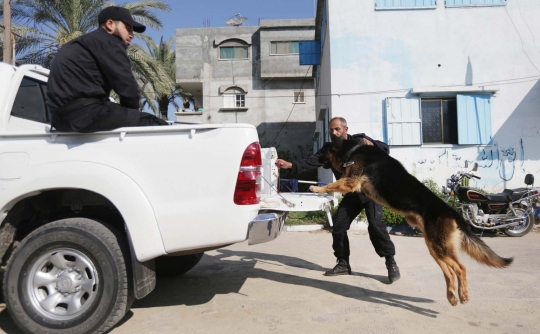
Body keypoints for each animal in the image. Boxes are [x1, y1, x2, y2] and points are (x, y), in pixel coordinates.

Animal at [310, 136, 512, 306]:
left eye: (320, 151)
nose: (308, 159)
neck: (352, 150)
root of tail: (452, 212)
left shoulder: (350, 181)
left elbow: (331, 184)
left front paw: (315, 188)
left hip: (439, 247)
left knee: (461, 268)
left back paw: (462, 295)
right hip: (435, 249)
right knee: (449, 271)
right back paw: (452, 297)